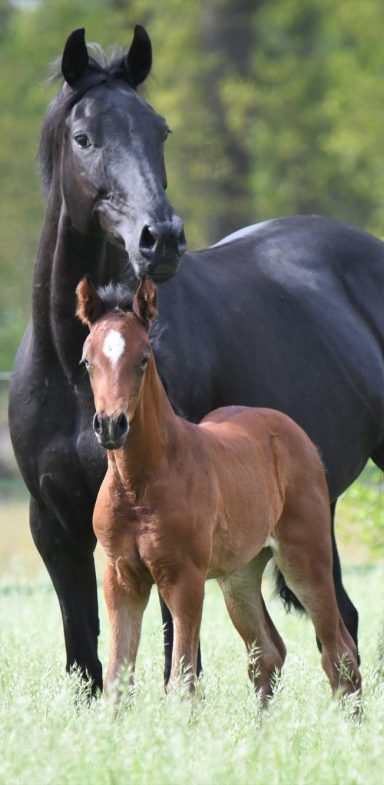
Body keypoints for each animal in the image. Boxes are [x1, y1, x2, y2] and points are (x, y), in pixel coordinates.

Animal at [76, 276, 362, 704]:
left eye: (143, 358)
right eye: (87, 361)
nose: (111, 424)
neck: (138, 486)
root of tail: (295, 433)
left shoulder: (185, 577)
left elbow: (182, 683)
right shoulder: (120, 577)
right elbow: (116, 682)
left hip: (305, 558)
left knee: (339, 653)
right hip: (239, 576)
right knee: (268, 653)